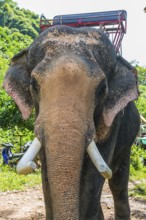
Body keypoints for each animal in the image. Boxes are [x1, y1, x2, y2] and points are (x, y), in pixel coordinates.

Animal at [2, 24, 140, 219]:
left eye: (102, 88)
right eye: (33, 84)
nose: (31, 164)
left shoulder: (112, 123)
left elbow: (93, 175)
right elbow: (46, 173)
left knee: (118, 182)